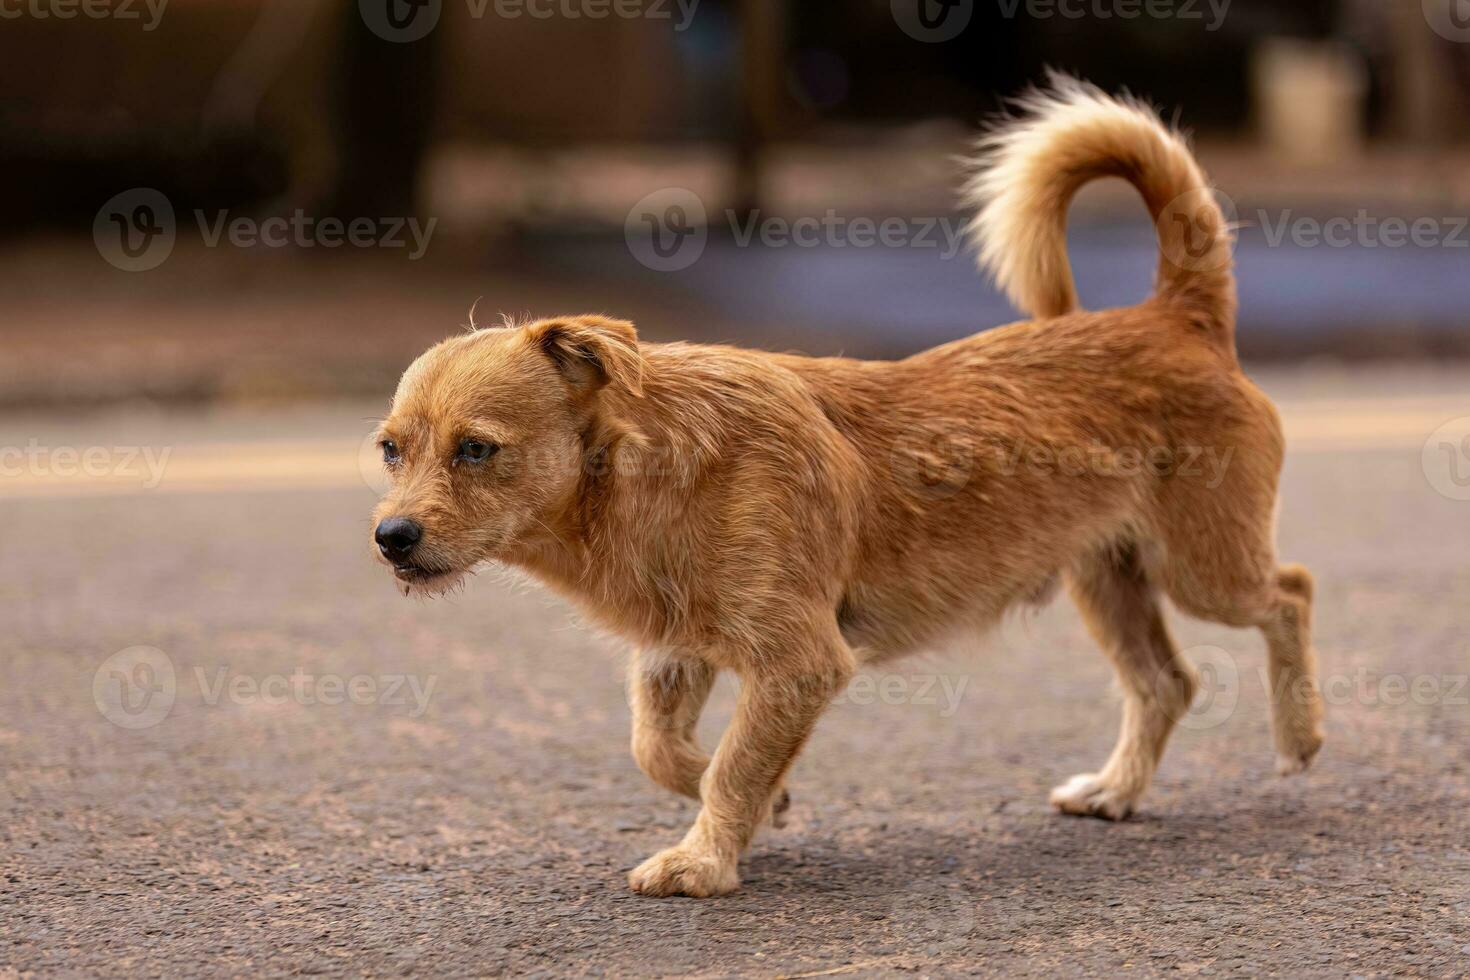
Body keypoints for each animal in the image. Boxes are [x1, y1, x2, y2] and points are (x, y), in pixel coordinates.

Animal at [367, 78, 1323, 899]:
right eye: (389, 450)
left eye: (476, 450)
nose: (390, 538)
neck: (647, 475)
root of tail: (1176, 315)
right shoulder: (676, 653)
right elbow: (664, 750)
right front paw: (766, 806)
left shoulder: (799, 661)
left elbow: (731, 764)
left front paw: (704, 859)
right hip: (1105, 578)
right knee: (1168, 682)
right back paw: (1118, 789)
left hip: (1203, 569)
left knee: (1290, 593)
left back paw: (1301, 733)